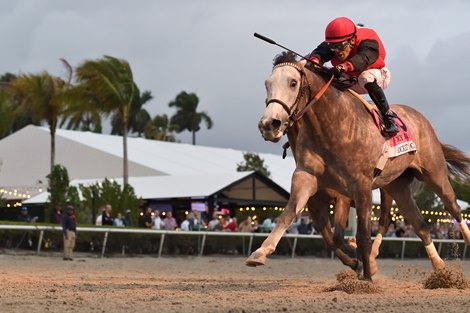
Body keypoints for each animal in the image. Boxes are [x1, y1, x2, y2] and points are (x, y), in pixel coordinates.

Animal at [246, 51, 470, 280]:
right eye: (267, 84)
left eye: (293, 83)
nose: (269, 124)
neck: (332, 127)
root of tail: (420, 118)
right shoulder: (309, 184)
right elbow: (295, 218)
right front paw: (260, 252)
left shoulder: (357, 188)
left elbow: (360, 235)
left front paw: (367, 275)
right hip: (397, 186)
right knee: (420, 225)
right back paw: (439, 266)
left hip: (434, 173)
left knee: (450, 207)